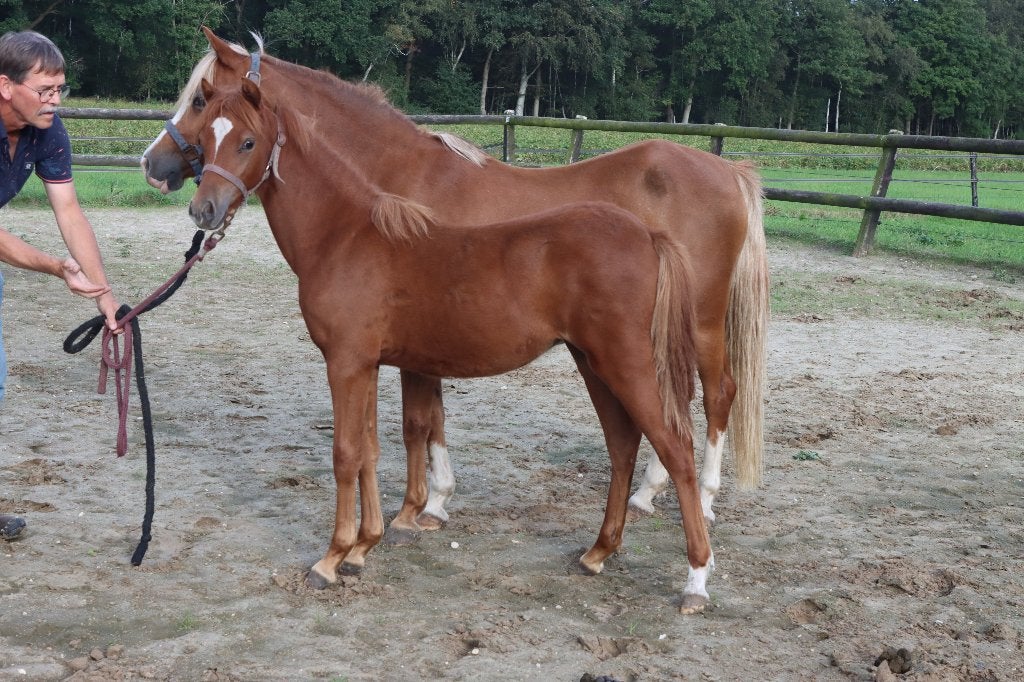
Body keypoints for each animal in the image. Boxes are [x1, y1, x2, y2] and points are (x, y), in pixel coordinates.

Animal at [142, 27, 769, 537]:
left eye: (199, 97)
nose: (152, 164)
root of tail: (727, 169)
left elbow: (417, 422)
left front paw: (419, 505)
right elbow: (429, 419)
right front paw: (435, 501)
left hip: (703, 322)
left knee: (716, 394)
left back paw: (701, 498)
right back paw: (649, 491)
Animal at [187, 76, 716, 613]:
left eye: (247, 142)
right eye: (204, 137)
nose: (203, 209)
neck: (346, 236)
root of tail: (648, 235)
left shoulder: (345, 362)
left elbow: (345, 453)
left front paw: (332, 559)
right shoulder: (368, 364)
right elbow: (371, 450)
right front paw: (364, 547)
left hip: (628, 364)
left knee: (677, 450)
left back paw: (695, 579)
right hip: (593, 362)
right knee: (623, 444)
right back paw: (598, 553)